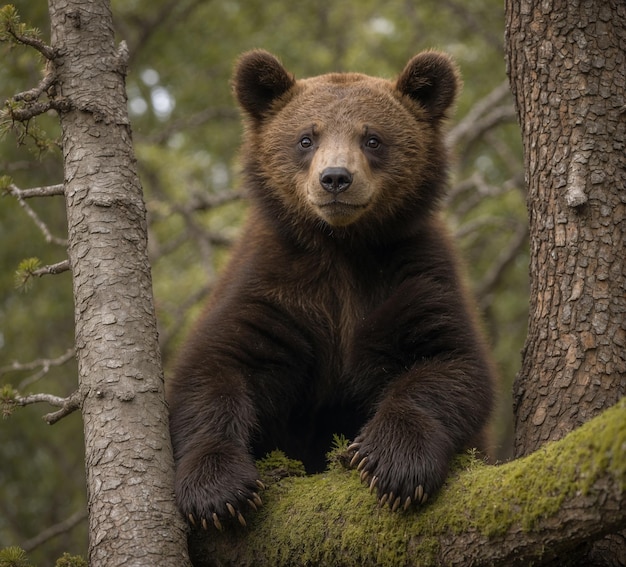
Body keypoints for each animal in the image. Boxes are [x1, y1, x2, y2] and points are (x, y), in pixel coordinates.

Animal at [166, 51, 492, 532]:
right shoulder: (276, 287)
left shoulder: (409, 273)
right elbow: (215, 368)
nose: (336, 178)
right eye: (306, 138)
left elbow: (447, 361)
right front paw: (217, 493)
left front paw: (390, 464)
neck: (340, 248)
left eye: (372, 138)